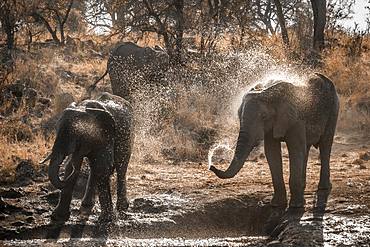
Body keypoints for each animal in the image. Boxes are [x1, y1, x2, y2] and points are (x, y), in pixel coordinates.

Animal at [41, 92, 134, 222]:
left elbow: (103, 167)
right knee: (94, 167)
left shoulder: (105, 135)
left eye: (76, 133)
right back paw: (87, 205)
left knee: (121, 166)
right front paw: (57, 217)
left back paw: (122, 208)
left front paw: (106, 220)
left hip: (128, 135)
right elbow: (70, 166)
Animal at [210, 73, 340, 208]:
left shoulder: (296, 119)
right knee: (307, 148)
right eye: (239, 115)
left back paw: (323, 188)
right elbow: (272, 152)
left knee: (325, 145)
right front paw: (277, 204)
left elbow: (295, 150)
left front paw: (296, 206)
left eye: (264, 117)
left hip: (334, 109)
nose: (211, 166)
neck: (268, 93)